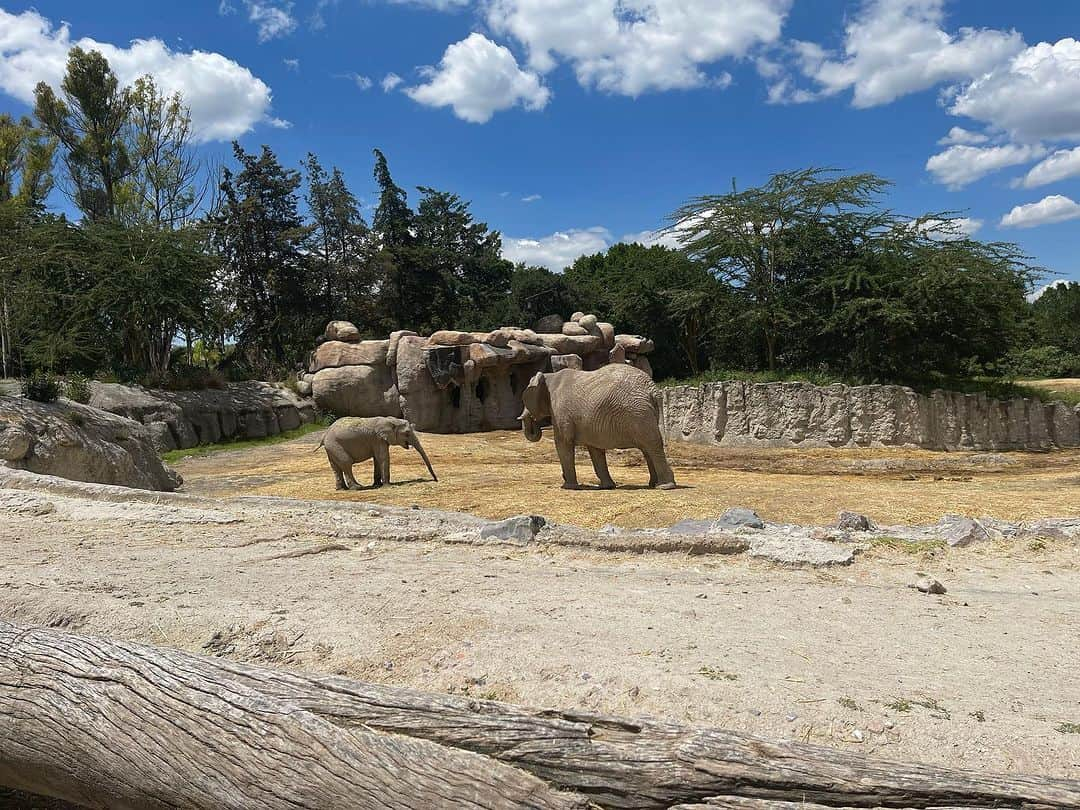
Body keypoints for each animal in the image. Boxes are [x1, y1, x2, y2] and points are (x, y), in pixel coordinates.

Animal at [516, 365, 673, 492]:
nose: (536, 424)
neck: (549, 375)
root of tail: (653, 389)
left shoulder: (560, 411)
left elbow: (563, 443)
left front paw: (568, 487)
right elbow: (595, 449)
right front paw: (607, 487)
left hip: (638, 412)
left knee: (652, 445)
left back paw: (664, 486)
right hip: (642, 413)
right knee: (647, 448)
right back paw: (653, 484)